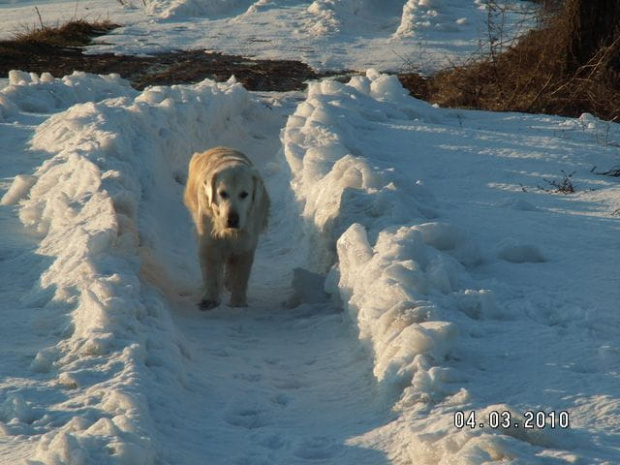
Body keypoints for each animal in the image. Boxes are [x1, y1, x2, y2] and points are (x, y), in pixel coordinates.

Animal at [185, 147, 270, 310]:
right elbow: (211, 270)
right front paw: (210, 299)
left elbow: (241, 274)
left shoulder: (245, 243)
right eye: (222, 193)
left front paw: (238, 302)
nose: (232, 220)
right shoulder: (209, 240)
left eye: (244, 194)